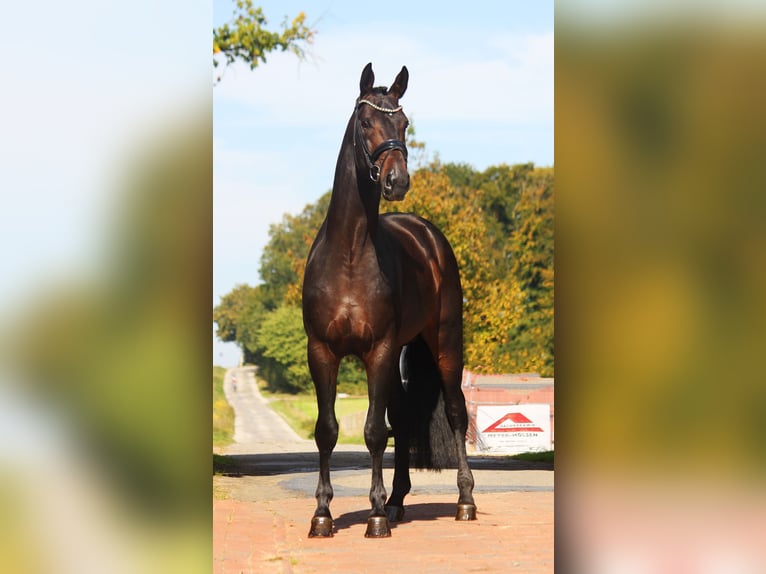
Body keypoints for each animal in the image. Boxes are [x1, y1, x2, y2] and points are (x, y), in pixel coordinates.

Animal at [304, 64, 476, 540]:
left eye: (404, 123)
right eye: (366, 122)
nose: (397, 181)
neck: (348, 255)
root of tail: (428, 234)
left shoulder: (377, 350)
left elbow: (373, 432)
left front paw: (375, 516)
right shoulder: (321, 351)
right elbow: (327, 430)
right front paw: (322, 514)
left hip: (444, 343)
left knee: (456, 413)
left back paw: (464, 501)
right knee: (401, 418)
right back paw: (399, 500)